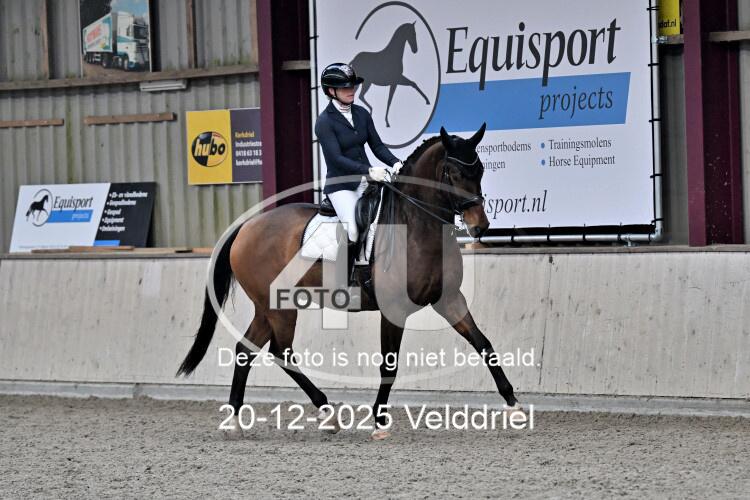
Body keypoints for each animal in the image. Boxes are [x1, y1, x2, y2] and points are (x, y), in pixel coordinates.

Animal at [177, 123, 522, 439]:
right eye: (452, 173)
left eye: (479, 169)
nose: (480, 226)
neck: (416, 226)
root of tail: (246, 227)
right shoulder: (394, 310)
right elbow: (389, 366)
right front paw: (379, 421)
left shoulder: (448, 299)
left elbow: (483, 344)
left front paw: (514, 405)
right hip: (279, 308)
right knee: (281, 351)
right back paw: (326, 413)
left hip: (267, 308)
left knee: (246, 350)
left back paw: (236, 420)